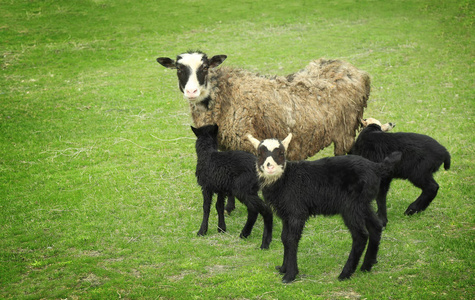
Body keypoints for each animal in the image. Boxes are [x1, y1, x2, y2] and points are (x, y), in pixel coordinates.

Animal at [156, 50, 372, 161]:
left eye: (205, 67)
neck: (224, 95)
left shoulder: (245, 140)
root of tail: (354, 70)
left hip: (345, 129)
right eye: (179, 69)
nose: (191, 92)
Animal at [247, 134, 404, 284]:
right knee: (376, 226)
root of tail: (376, 167)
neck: (285, 179)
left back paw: (345, 274)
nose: (270, 167)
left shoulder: (297, 211)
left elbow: (292, 240)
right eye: (259, 154)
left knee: (360, 236)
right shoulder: (286, 213)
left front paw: (290, 275)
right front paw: (283, 268)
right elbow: (284, 238)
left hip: (351, 205)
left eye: (281, 153)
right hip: (363, 203)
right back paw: (366, 266)